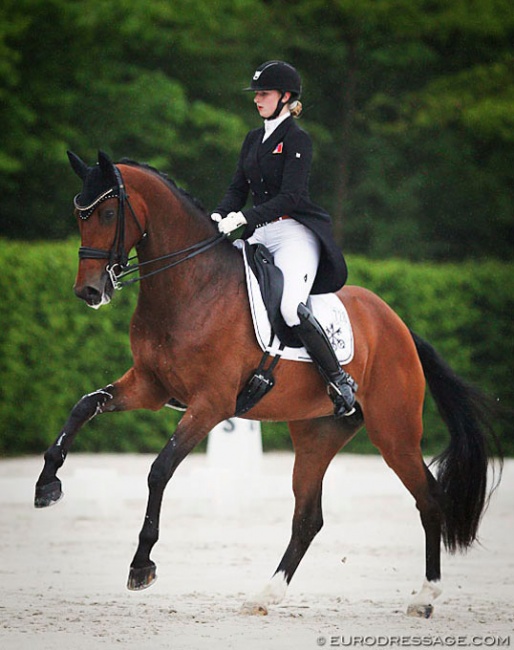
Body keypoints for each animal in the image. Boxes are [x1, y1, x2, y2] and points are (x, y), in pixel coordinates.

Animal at [35, 149, 500, 616]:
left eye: (109, 212)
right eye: (78, 215)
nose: (89, 292)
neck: (191, 286)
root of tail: (399, 326)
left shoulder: (211, 405)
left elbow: (159, 470)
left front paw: (141, 565)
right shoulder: (150, 387)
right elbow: (84, 405)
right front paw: (47, 485)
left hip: (394, 431)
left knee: (428, 497)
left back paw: (424, 596)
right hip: (317, 433)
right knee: (309, 516)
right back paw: (265, 594)